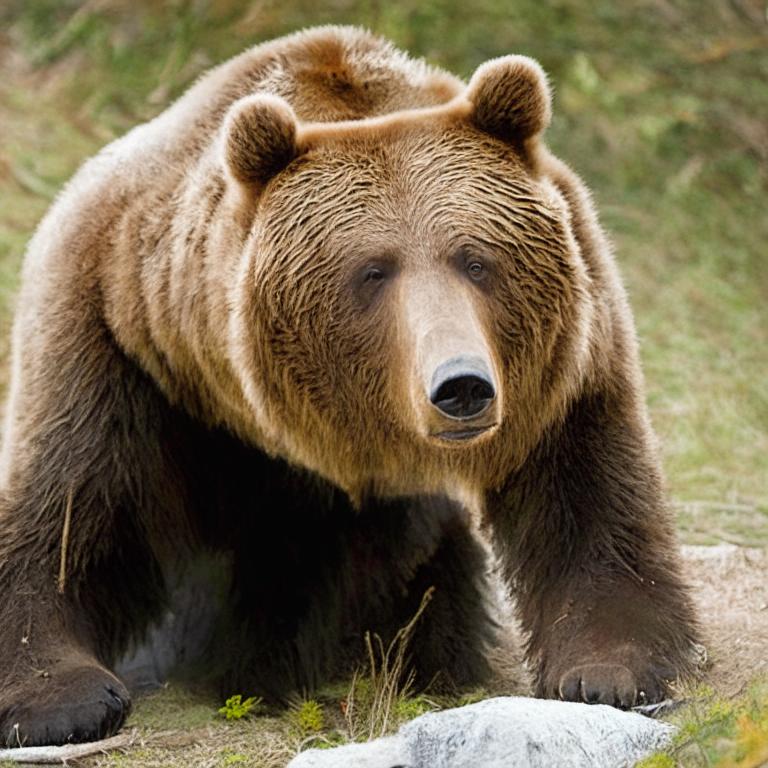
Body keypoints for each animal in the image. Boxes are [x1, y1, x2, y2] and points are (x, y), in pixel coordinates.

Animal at [0, 25, 699, 747]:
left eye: (476, 259)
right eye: (373, 270)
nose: (461, 385)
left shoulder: (569, 354)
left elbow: (587, 495)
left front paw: (611, 671)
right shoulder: (117, 328)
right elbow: (68, 509)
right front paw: (64, 701)